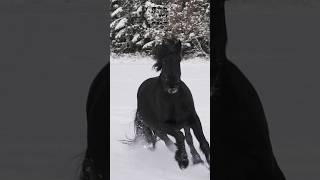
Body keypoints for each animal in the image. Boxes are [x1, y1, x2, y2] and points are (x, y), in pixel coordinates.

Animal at [131, 38, 210, 169]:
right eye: (164, 61)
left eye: (178, 59)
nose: (172, 85)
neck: (174, 100)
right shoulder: (164, 125)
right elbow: (179, 136)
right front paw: (183, 159)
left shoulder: (193, 119)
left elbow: (202, 141)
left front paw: (205, 160)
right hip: (157, 128)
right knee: (169, 141)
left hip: (182, 124)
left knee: (188, 138)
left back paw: (196, 158)